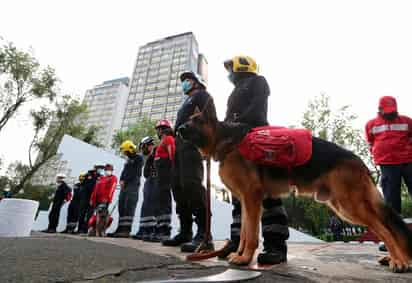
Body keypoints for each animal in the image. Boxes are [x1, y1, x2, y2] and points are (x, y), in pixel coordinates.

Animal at [179, 100, 412, 272]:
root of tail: (359, 160)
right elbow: (244, 232)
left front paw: (244, 259)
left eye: (196, 120)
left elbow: (251, 234)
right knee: (386, 228)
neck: (226, 140)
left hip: (351, 206)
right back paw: (397, 260)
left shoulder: (252, 199)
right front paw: (239, 255)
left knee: (386, 230)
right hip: (343, 206)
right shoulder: (246, 202)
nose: (179, 128)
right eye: (190, 120)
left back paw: (399, 262)